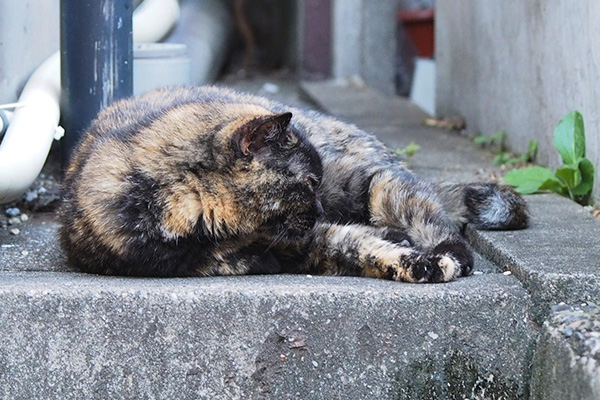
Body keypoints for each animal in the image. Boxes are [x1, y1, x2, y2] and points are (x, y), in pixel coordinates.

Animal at [59, 86, 528, 282]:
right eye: (306, 183)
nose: (320, 208)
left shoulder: (302, 237)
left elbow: (362, 243)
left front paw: (421, 262)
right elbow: (353, 246)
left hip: (369, 182)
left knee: (421, 208)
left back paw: (448, 251)